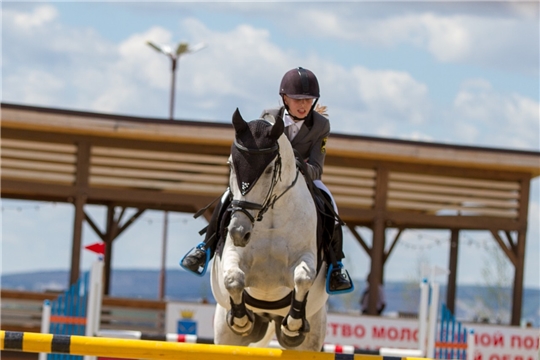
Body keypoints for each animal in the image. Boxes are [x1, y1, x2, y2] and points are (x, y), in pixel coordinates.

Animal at [211, 108, 330, 350]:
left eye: (268, 170)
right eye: (231, 165)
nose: (239, 232)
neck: (270, 215)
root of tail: (268, 317)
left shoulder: (306, 255)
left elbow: (303, 278)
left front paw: (293, 326)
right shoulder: (232, 254)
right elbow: (233, 279)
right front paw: (241, 321)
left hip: (312, 334)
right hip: (225, 336)